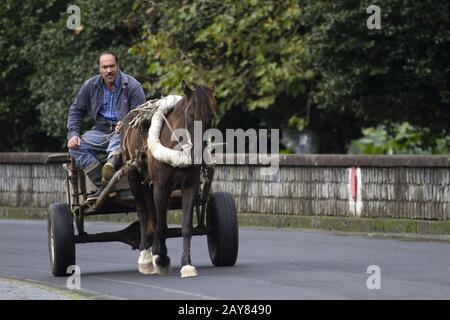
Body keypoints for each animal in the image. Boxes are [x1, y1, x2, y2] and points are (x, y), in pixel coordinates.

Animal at [121, 80, 216, 278]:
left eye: (211, 114)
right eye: (190, 113)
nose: (199, 153)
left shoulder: (190, 186)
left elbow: (186, 226)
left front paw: (186, 264)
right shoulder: (160, 186)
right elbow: (162, 225)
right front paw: (161, 259)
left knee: (153, 213)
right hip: (133, 175)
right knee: (143, 212)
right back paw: (146, 256)